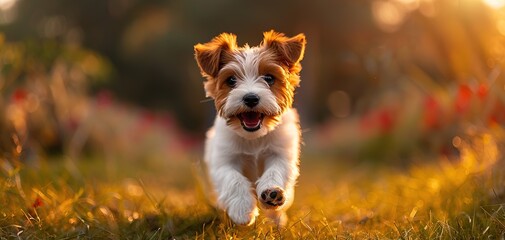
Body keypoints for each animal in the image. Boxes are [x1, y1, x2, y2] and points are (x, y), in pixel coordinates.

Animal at [192, 31, 304, 226]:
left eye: (269, 78)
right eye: (231, 80)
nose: (251, 98)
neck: (254, 137)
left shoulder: (281, 153)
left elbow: (275, 169)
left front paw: (272, 192)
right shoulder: (224, 160)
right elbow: (234, 179)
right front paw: (242, 209)